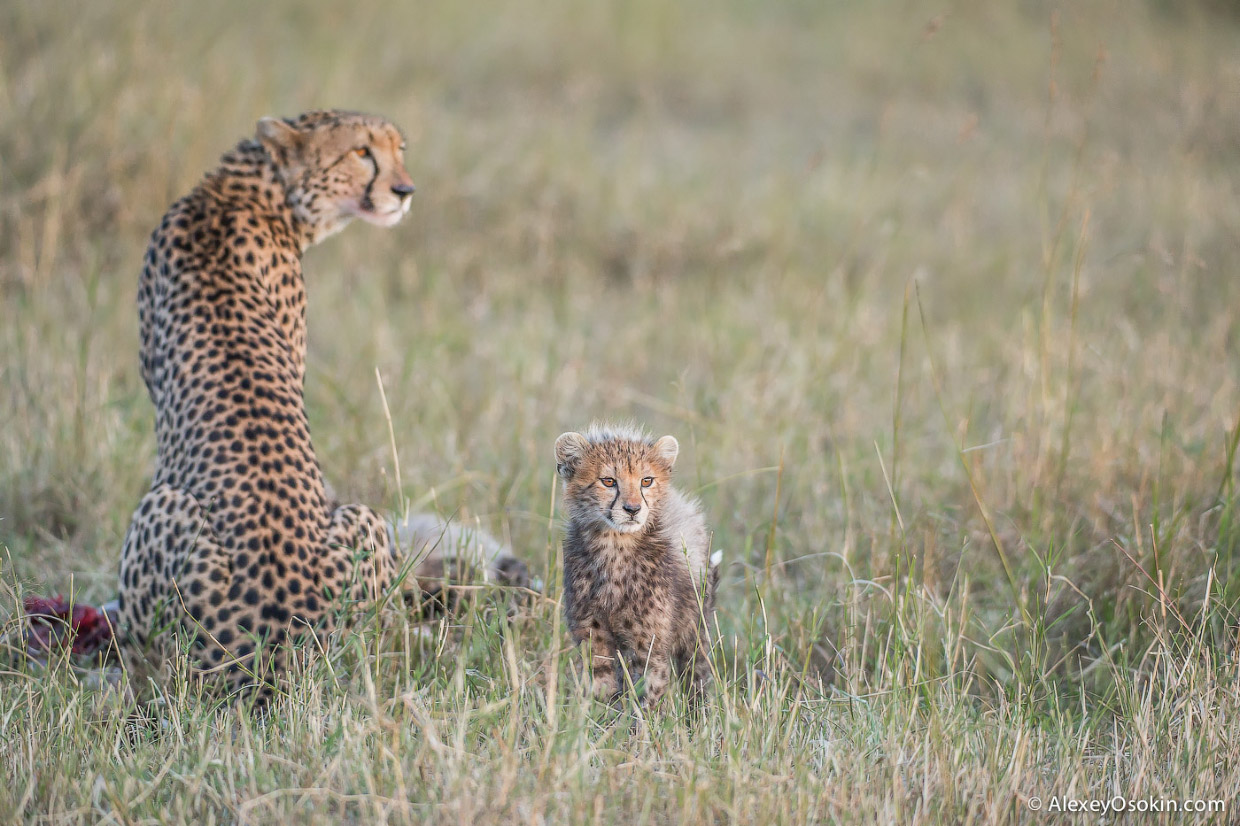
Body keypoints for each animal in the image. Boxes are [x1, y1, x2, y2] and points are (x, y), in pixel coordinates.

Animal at [122, 107, 419, 689]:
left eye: (399, 149)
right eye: (361, 152)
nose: (404, 190)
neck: (251, 189)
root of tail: (276, 638)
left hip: (169, 505)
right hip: (356, 519)